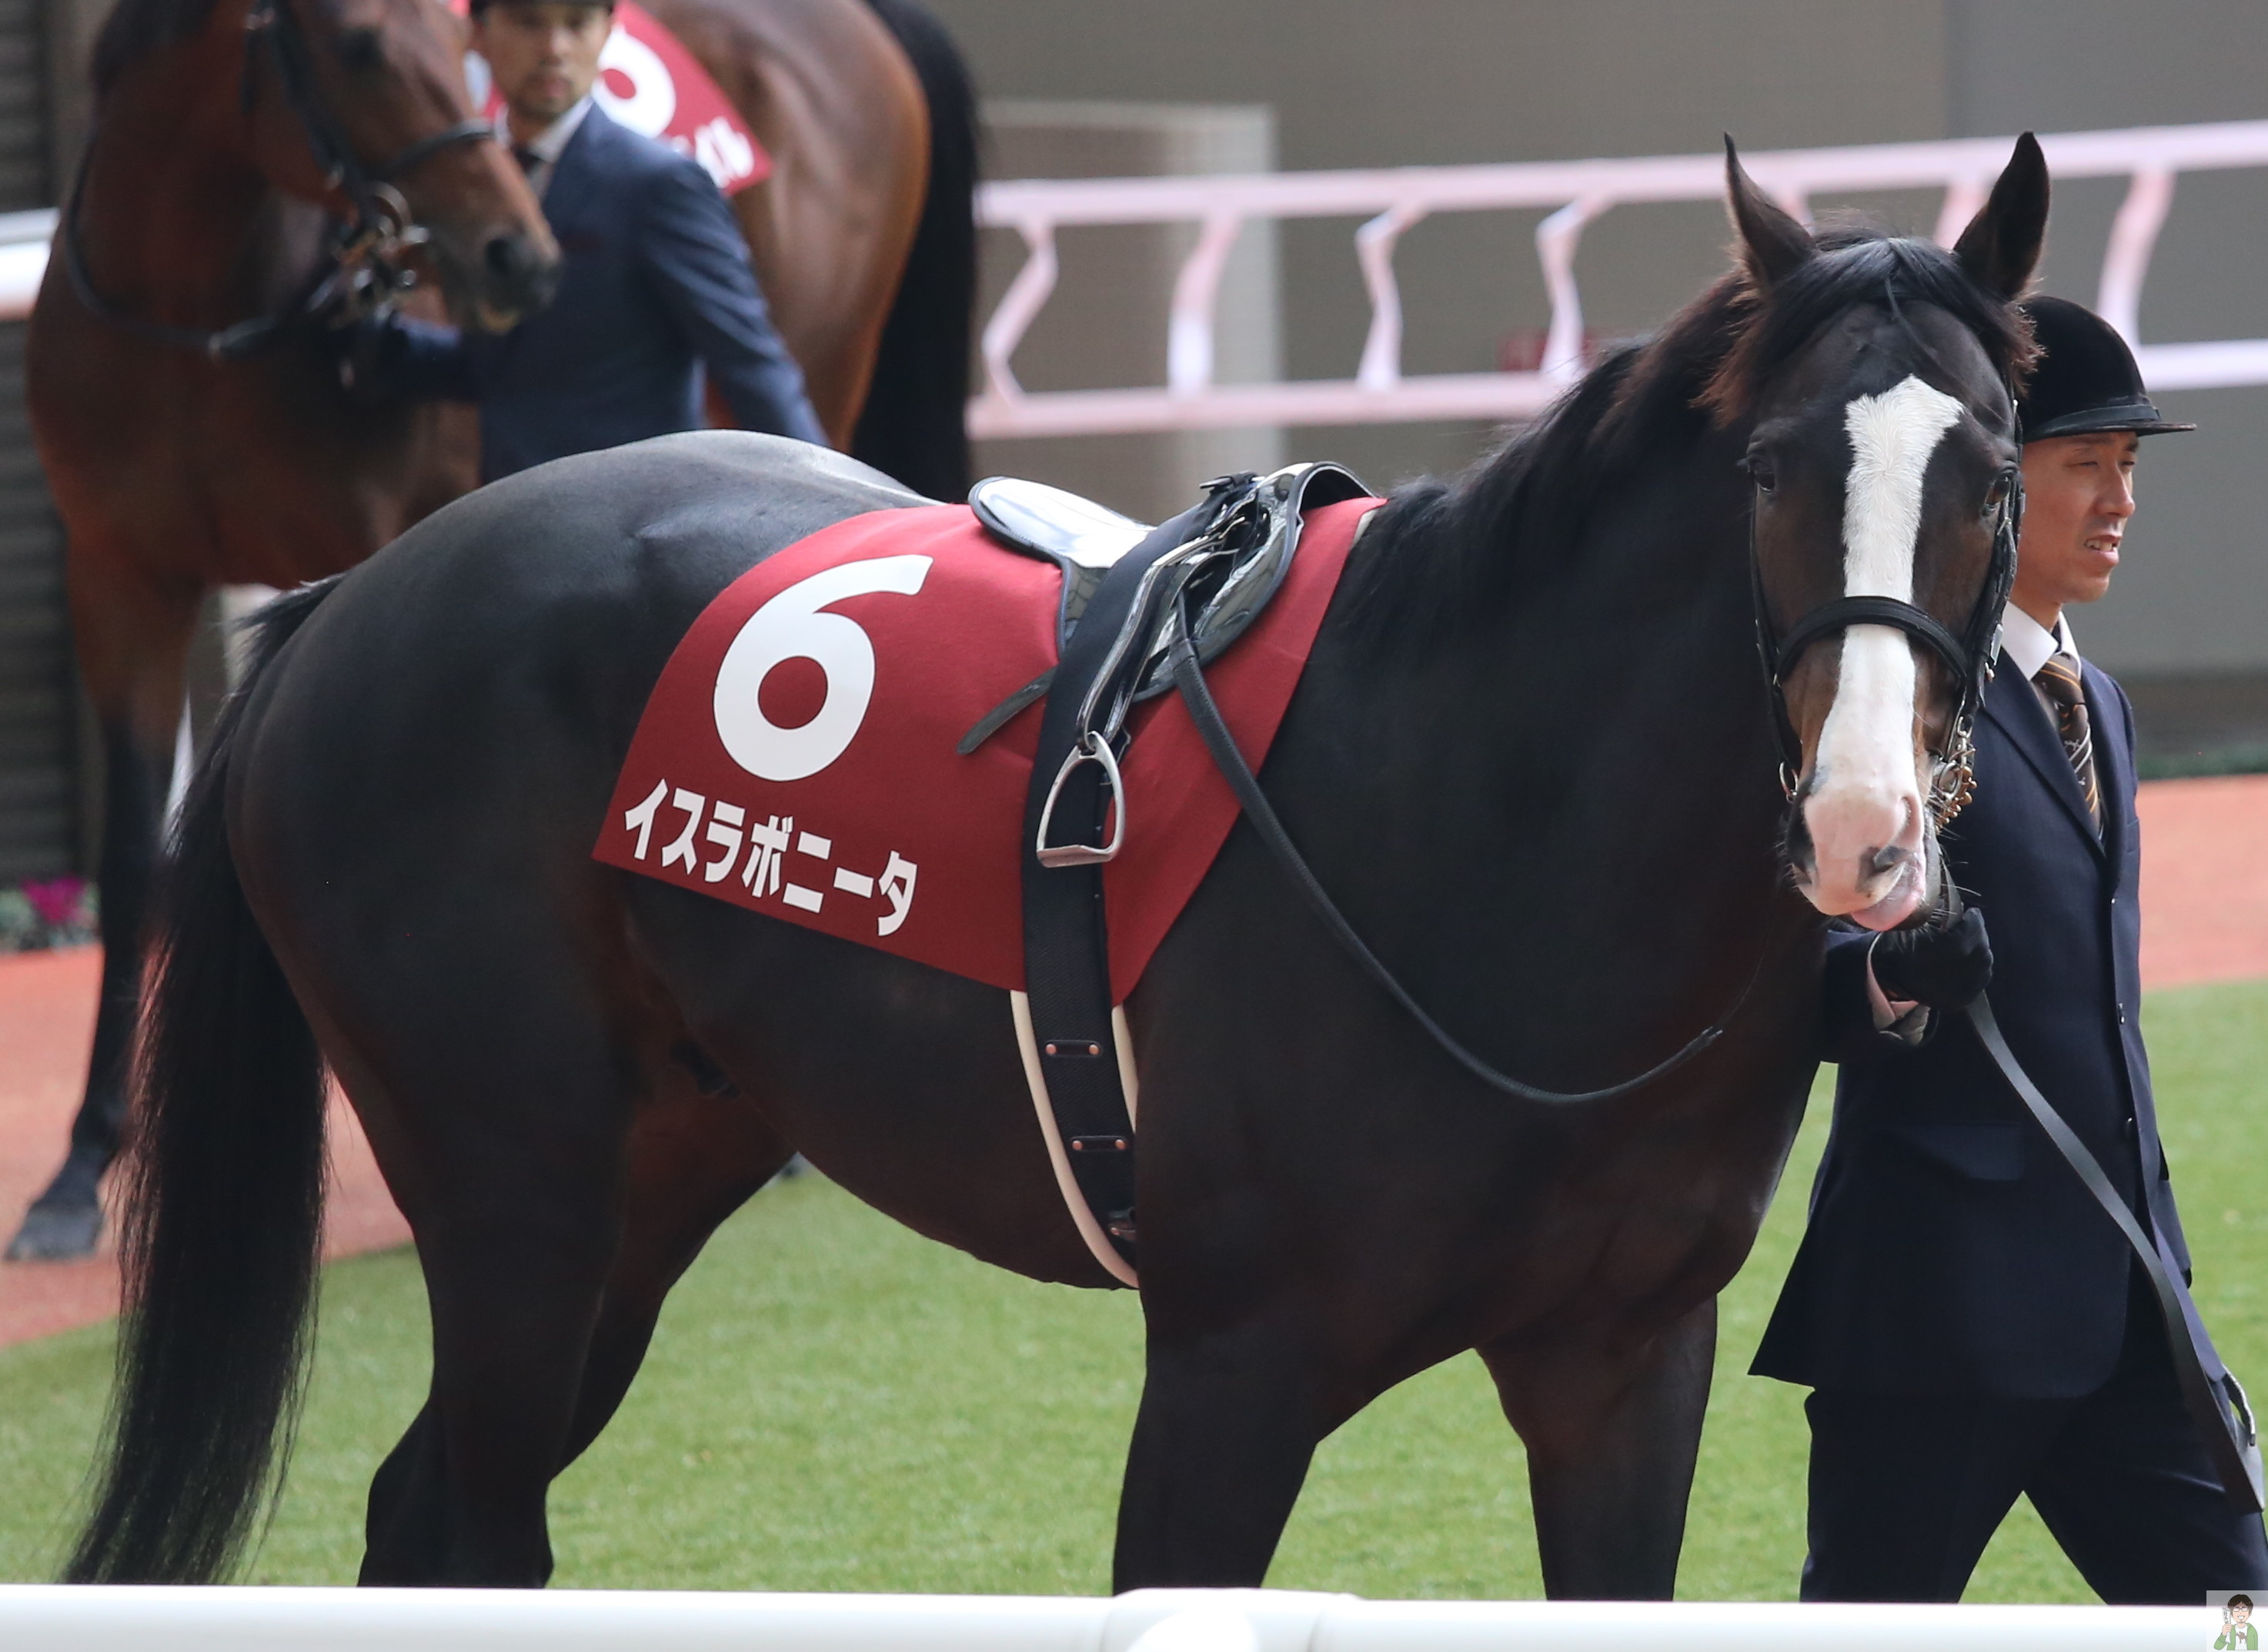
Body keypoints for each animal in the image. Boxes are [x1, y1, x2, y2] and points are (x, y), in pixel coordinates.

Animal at [15, 0, 975, 1252]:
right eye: (356, 43)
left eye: (449, 32)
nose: (512, 255)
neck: (193, 317)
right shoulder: (121, 576)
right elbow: (131, 858)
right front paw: (81, 1167)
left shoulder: (367, 534)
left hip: (816, 351)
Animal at [71, 142, 2050, 1588]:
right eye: (1771, 468)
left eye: (1994, 474)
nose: (1863, 821)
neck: (1485, 824)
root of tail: (350, 601)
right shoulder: (1231, 1367)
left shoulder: (1626, 1361)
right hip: (513, 1192)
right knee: (472, 1523)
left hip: (656, 1171)